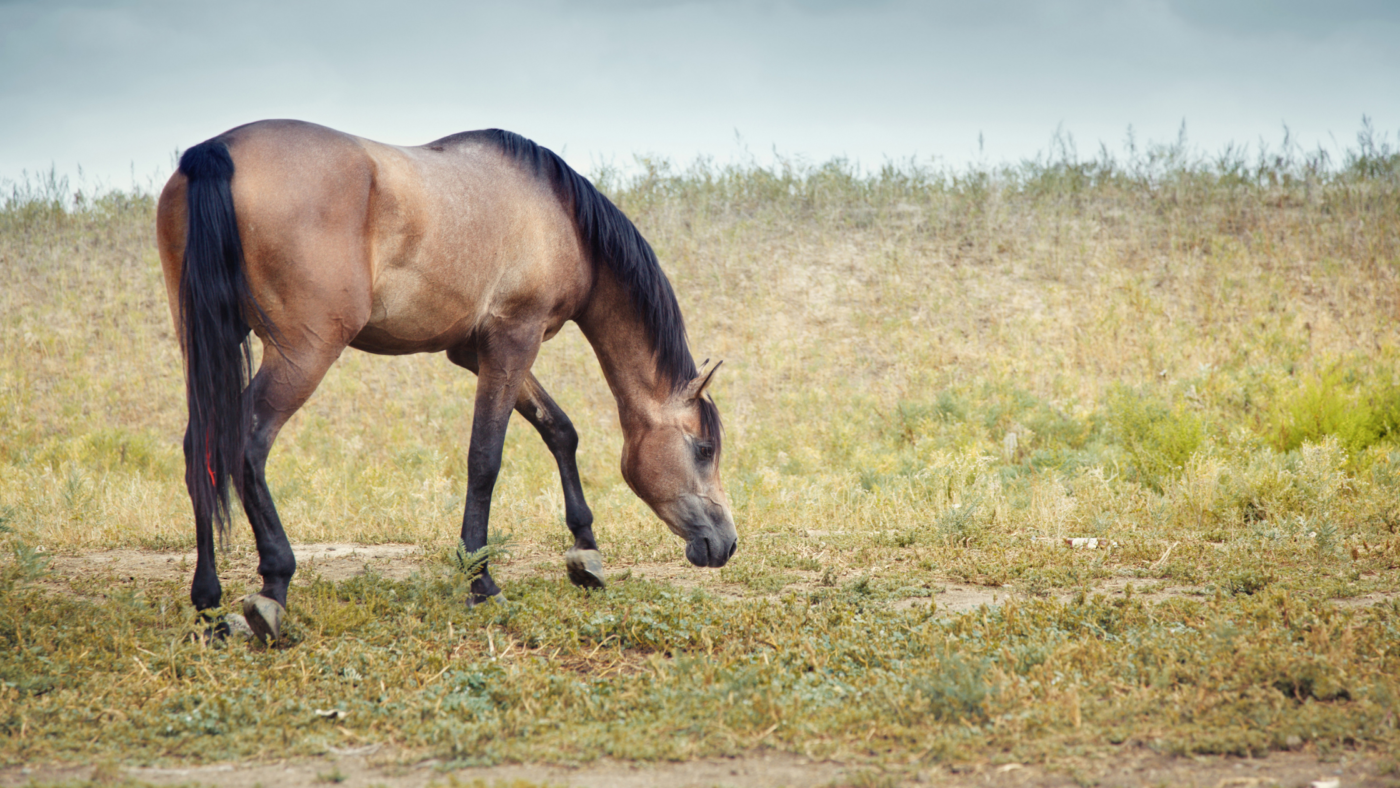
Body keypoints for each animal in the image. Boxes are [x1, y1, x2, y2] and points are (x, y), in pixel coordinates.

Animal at [157, 121, 739, 641]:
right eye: (705, 449)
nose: (727, 543)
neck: (560, 216)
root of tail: (215, 152)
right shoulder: (513, 339)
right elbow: (485, 459)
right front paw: (481, 580)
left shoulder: (477, 350)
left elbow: (559, 430)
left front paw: (585, 551)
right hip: (303, 352)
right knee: (246, 444)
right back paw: (272, 591)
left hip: (207, 345)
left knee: (199, 448)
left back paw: (208, 606)